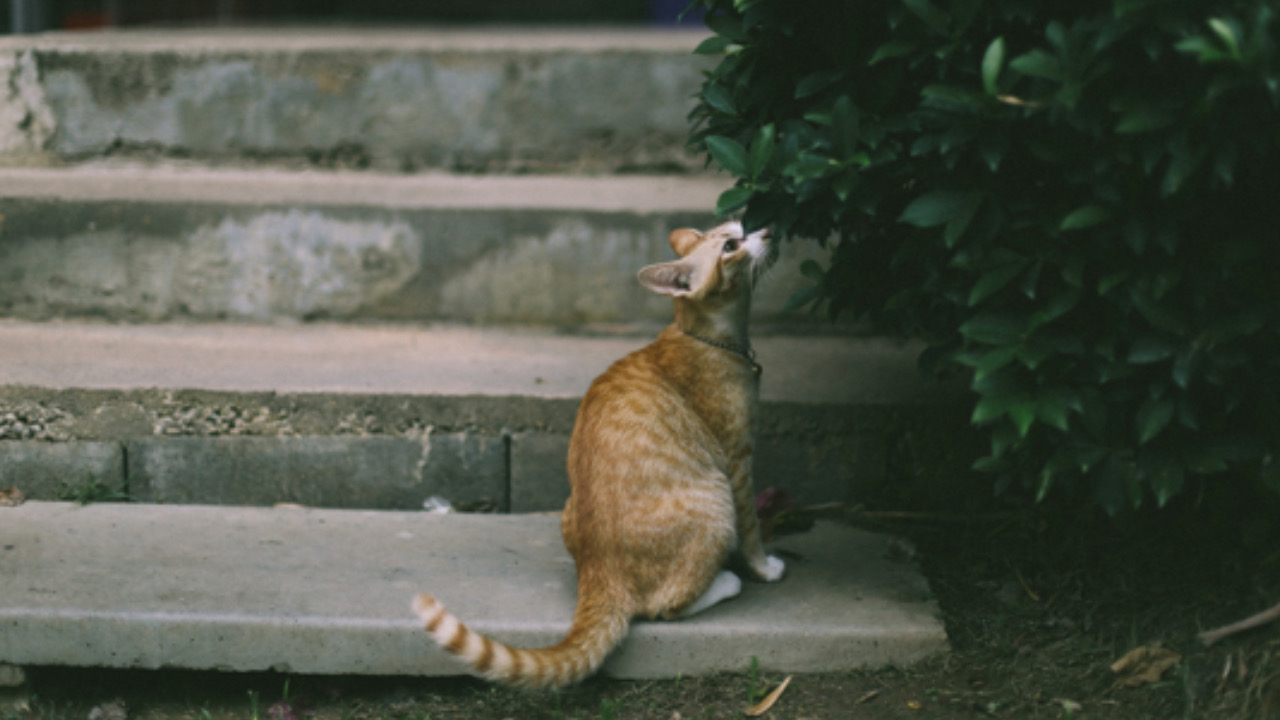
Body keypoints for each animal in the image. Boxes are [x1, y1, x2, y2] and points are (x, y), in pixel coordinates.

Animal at [414, 221, 783, 686]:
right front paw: (764, 568)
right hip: (715, 503)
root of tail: (599, 573)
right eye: (732, 245)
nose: (770, 230)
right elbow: (752, 529)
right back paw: (725, 582)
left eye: (741, 226)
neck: (711, 336)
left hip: (569, 507)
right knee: (664, 607)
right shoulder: (737, 461)